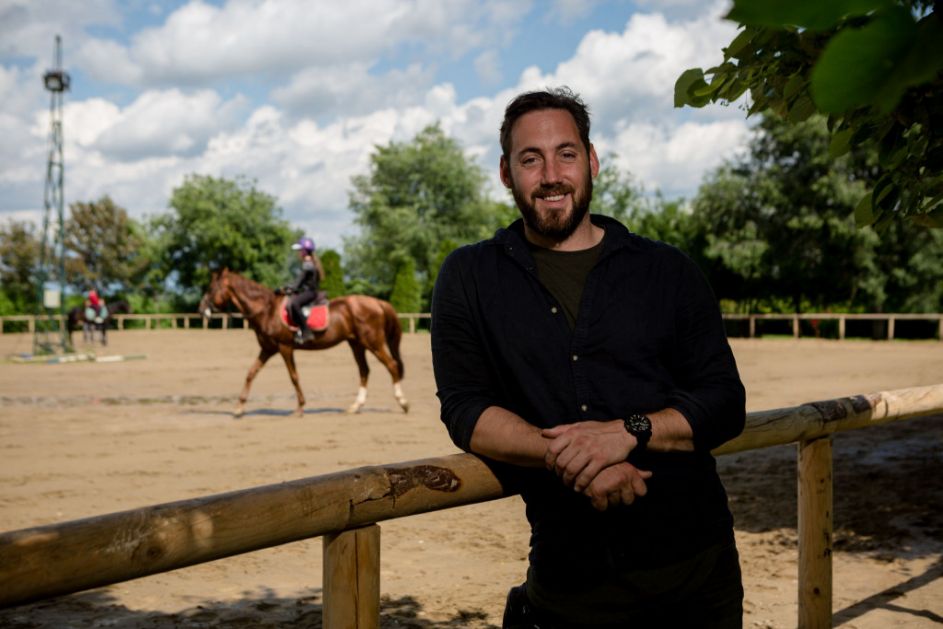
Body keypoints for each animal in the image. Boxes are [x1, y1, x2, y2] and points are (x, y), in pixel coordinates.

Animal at [197, 266, 408, 418]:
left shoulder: (285, 347)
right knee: (364, 371)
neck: (266, 309)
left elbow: (294, 377)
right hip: (356, 344)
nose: (201, 309)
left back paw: (403, 403)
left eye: (211, 288)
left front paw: (299, 408)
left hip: (373, 342)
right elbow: (251, 373)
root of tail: (378, 302)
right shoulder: (267, 349)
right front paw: (239, 408)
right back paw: (355, 406)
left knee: (391, 365)